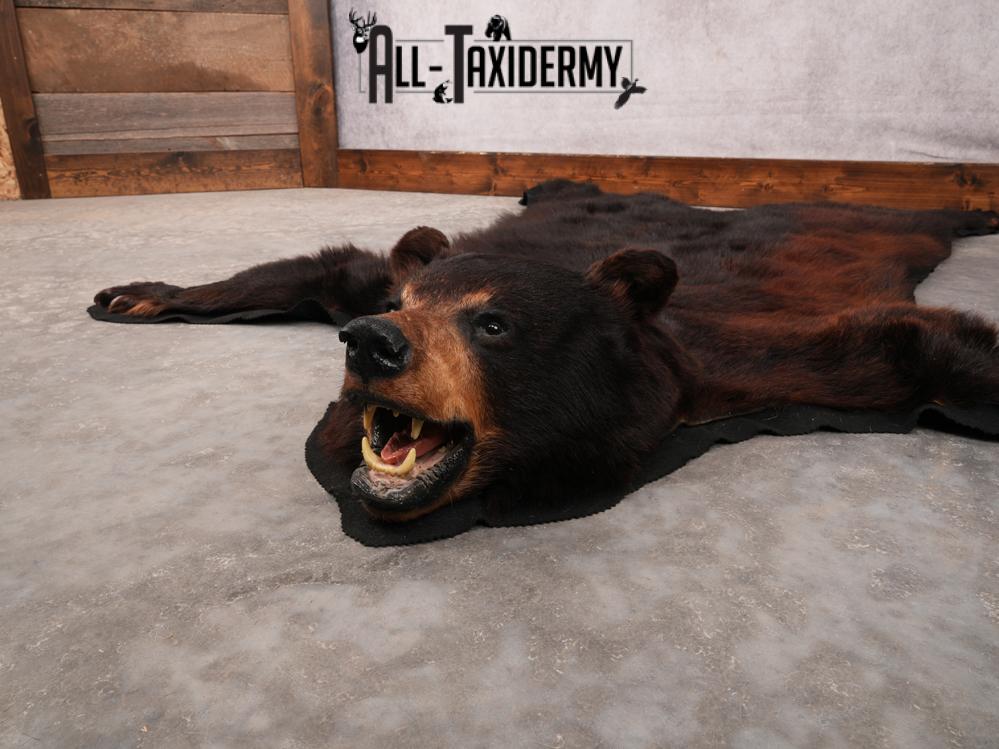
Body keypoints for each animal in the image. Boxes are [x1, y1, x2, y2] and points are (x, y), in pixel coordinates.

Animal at [91, 180, 999, 526]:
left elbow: (911, 343)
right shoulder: (380, 277)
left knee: (915, 213)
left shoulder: (737, 362)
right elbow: (332, 268)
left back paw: (974, 207)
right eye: (406, 307)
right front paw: (137, 294)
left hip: (877, 220)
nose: (373, 343)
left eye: (493, 325)